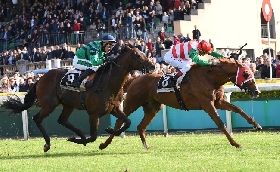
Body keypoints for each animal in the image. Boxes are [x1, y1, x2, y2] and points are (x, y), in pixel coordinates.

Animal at [2, 45, 153, 153]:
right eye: (137, 55)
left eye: (143, 53)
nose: (152, 66)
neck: (107, 83)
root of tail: (40, 79)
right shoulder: (93, 113)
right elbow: (93, 136)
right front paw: (80, 140)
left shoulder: (113, 108)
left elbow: (127, 122)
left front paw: (109, 131)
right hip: (49, 104)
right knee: (37, 118)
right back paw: (48, 144)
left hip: (68, 105)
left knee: (62, 120)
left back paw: (79, 135)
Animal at [100, 57, 262, 149]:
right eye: (246, 73)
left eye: (251, 72)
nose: (256, 91)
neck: (209, 78)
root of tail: (135, 79)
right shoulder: (207, 104)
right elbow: (220, 123)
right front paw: (235, 143)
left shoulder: (218, 101)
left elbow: (237, 109)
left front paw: (256, 125)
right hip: (132, 103)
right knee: (119, 121)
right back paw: (104, 144)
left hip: (153, 107)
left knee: (141, 127)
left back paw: (146, 146)